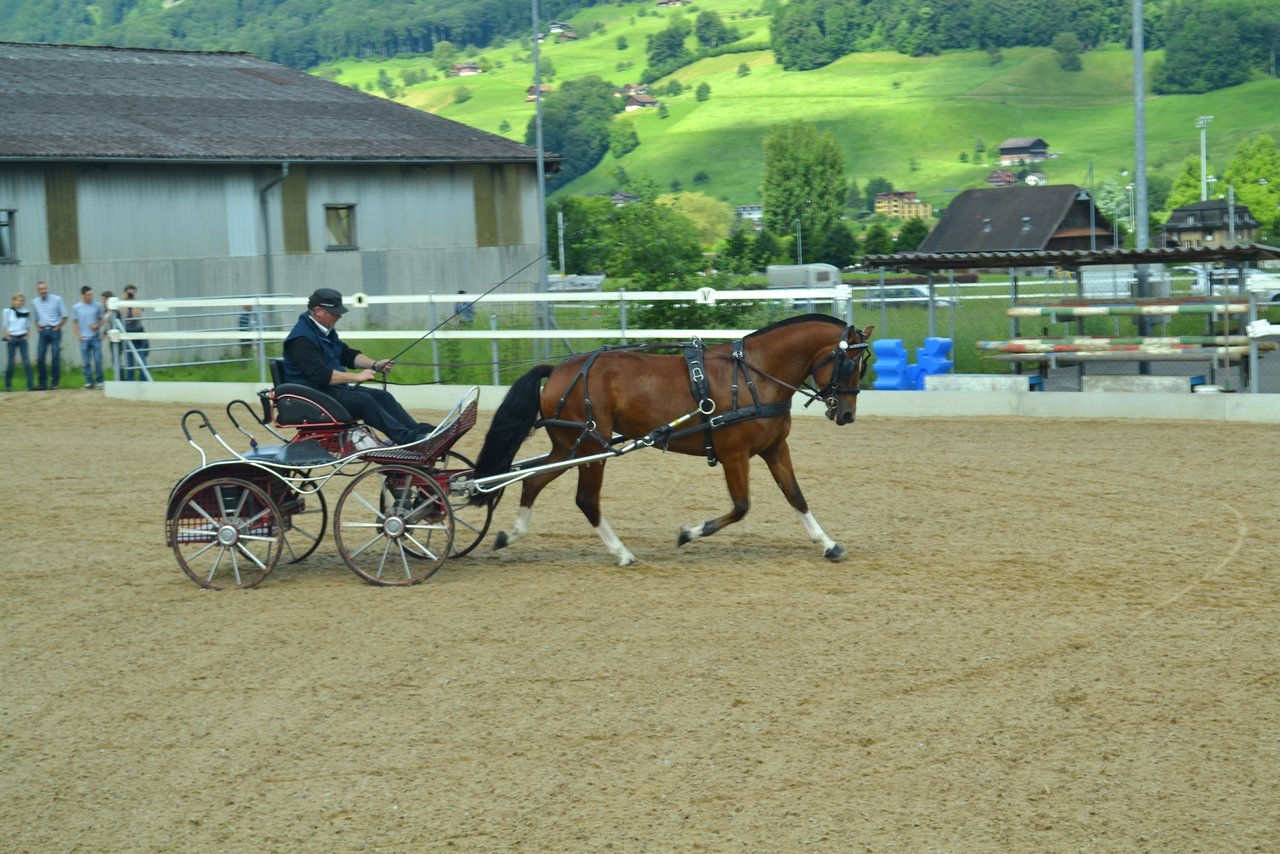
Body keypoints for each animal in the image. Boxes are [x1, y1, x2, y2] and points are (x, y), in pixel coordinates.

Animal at [471, 313, 870, 568]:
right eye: (850, 365)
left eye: (865, 364)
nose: (847, 415)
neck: (753, 376)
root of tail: (559, 370)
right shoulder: (734, 454)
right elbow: (741, 506)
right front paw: (690, 533)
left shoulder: (774, 448)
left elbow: (796, 496)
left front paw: (828, 544)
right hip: (592, 447)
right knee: (585, 499)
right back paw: (622, 553)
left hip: (569, 447)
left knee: (533, 481)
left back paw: (510, 535)